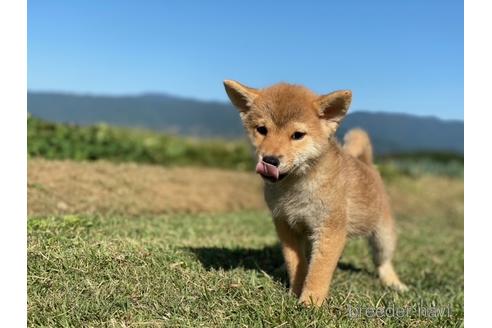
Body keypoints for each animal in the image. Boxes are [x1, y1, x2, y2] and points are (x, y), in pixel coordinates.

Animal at [223, 80, 408, 306]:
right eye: (262, 130)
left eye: (297, 135)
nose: (270, 160)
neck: (297, 188)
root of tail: (367, 165)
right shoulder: (286, 226)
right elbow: (297, 263)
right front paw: (295, 290)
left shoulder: (329, 229)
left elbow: (319, 270)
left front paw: (310, 301)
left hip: (383, 235)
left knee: (383, 261)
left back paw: (394, 283)